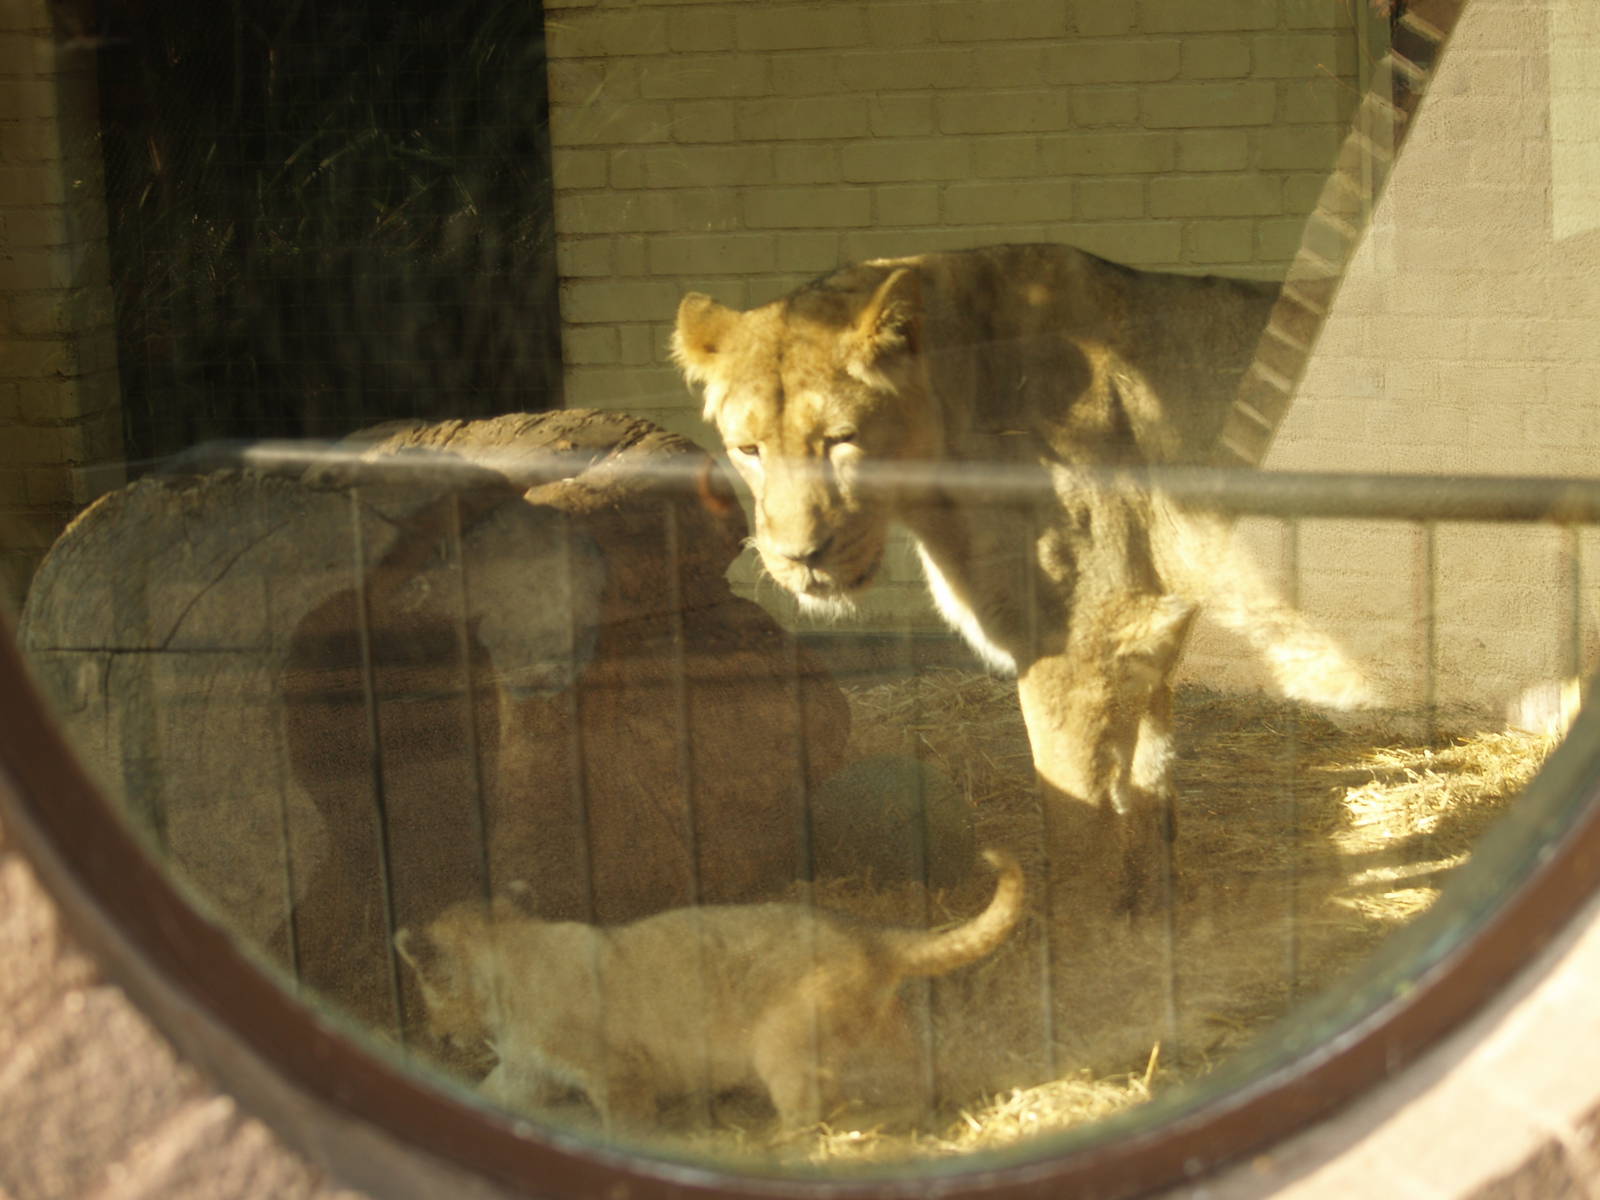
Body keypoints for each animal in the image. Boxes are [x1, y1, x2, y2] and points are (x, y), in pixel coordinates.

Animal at [394, 849, 1023, 1134]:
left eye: (424, 989)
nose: (434, 1035)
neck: (512, 950)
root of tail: (871, 936)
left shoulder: (617, 1072)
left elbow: (625, 1122)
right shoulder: (527, 1071)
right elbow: (491, 1091)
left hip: (782, 1043)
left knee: (810, 1108)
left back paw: (774, 1145)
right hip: (877, 1035)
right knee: (911, 1082)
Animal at [672, 243, 1370, 906]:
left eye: (842, 438)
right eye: (748, 449)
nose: (801, 556)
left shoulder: (1084, 638)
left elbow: (1076, 821)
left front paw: (1087, 934)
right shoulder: (1146, 636)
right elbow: (1146, 795)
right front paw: (1154, 916)